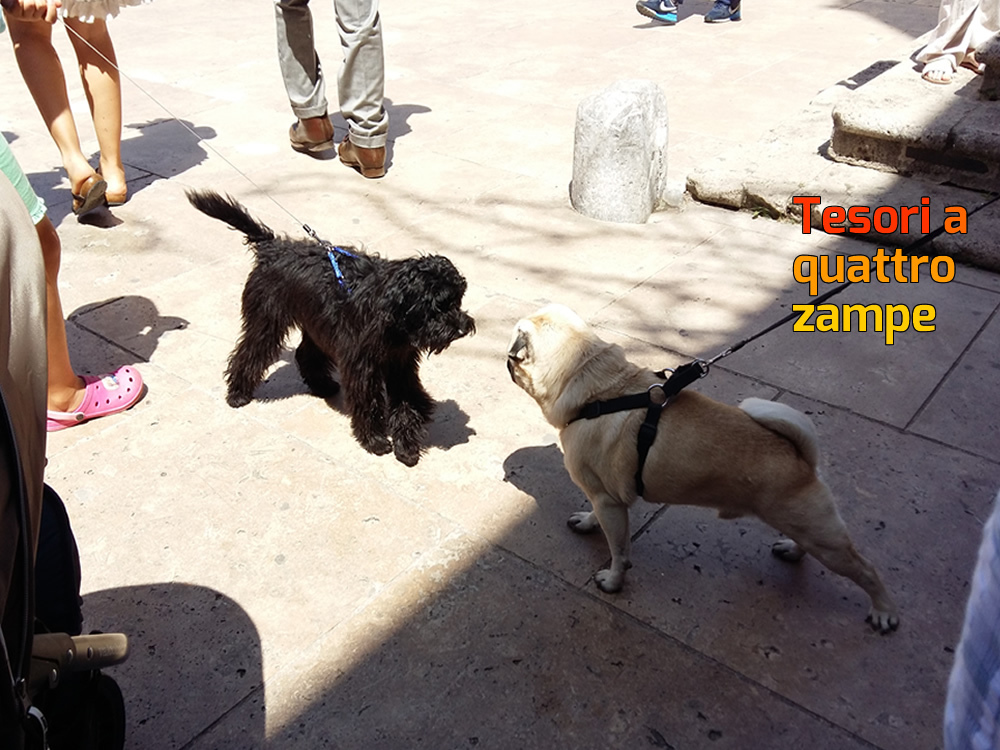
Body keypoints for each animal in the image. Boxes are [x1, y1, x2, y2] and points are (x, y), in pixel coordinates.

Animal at [188, 191, 476, 468]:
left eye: (457, 300)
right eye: (438, 306)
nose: (464, 328)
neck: (392, 310)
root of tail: (272, 246)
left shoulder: (399, 365)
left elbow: (404, 403)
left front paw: (406, 445)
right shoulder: (362, 366)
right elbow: (368, 402)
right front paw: (375, 440)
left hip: (317, 328)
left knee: (304, 355)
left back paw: (322, 385)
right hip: (266, 322)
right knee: (249, 354)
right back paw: (237, 394)